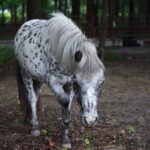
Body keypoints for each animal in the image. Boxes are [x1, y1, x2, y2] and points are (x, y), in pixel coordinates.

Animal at [14, 12, 105, 148]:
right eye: (78, 83)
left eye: (101, 82)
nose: (90, 120)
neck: (63, 55)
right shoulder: (53, 82)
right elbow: (64, 101)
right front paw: (61, 124)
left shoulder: (68, 85)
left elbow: (67, 107)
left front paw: (65, 139)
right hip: (26, 75)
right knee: (32, 98)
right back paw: (35, 127)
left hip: (39, 79)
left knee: (36, 95)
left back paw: (31, 120)